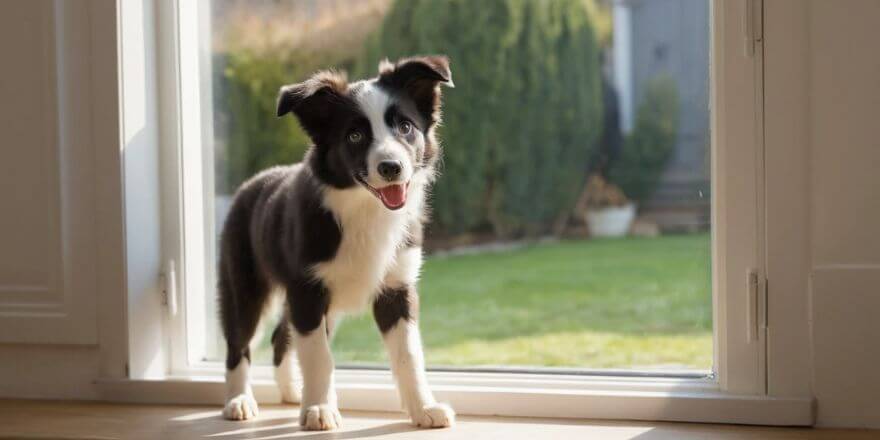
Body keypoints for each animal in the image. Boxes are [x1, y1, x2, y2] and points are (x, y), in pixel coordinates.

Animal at [218, 55, 454, 430]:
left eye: (405, 127)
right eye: (355, 135)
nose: (391, 167)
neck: (364, 209)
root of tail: (251, 183)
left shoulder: (397, 289)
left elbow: (409, 354)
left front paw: (424, 409)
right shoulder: (307, 290)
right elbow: (319, 356)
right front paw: (319, 410)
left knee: (280, 336)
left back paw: (291, 393)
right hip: (244, 285)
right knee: (238, 342)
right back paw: (239, 401)